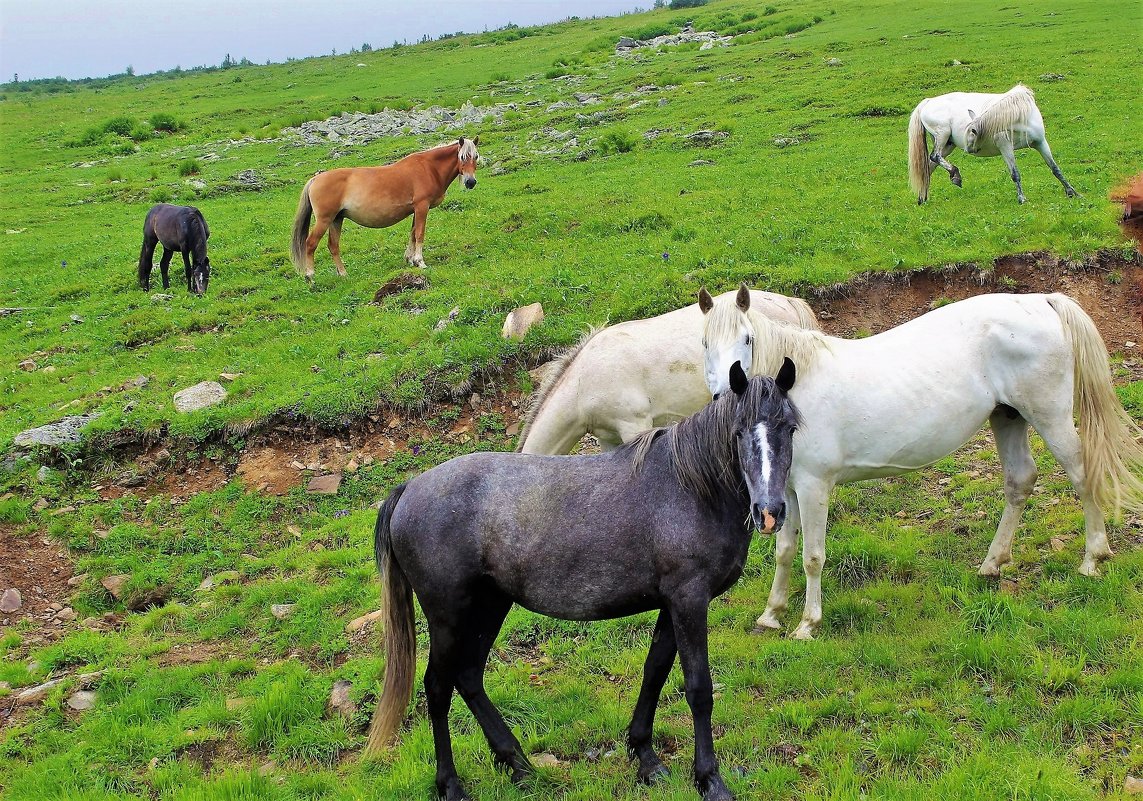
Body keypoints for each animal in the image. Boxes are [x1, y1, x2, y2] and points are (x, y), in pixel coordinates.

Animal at [292, 135, 480, 276]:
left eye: (476, 156)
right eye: (463, 157)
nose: (471, 182)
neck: (429, 168)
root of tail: (315, 179)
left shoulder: (415, 210)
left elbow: (412, 234)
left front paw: (410, 259)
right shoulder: (422, 207)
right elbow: (419, 234)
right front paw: (420, 261)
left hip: (336, 219)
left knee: (333, 246)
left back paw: (343, 274)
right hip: (324, 220)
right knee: (310, 243)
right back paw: (310, 276)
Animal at [363, 361, 795, 799]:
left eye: (789, 427)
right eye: (739, 432)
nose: (769, 512)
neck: (690, 487)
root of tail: (409, 489)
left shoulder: (672, 604)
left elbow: (655, 672)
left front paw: (645, 756)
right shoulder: (689, 601)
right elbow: (698, 688)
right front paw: (709, 778)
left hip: (490, 605)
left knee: (468, 678)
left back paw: (518, 763)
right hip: (448, 618)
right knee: (438, 689)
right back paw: (451, 784)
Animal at [699, 284, 1143, 639]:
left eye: (747, 339)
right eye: (704, 343)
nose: (725, 393)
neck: (793, 389)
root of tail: (1041, 301)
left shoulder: (813, 487)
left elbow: (813, 556)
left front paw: (808, 624)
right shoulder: (788, 489)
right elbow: (785, 550)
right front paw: (771, 614)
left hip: (1049, 415)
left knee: (1082, 475)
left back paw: (1093, 559)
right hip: (1008, 417)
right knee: (1020, 481)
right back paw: (992, 564)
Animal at [905, 83, 1074, 203]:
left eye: (972, 133)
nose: (969, 149)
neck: (1021, 116)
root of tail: (928, 102)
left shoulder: (1040, 143)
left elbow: (1055, 168)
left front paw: (1072, 192)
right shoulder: (1005, 146)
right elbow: (1015, 174)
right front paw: (1022, 199)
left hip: (948, 144)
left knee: (930, 165)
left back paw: (922, 198)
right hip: (942, 136)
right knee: (935, 157)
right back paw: (955, 175)